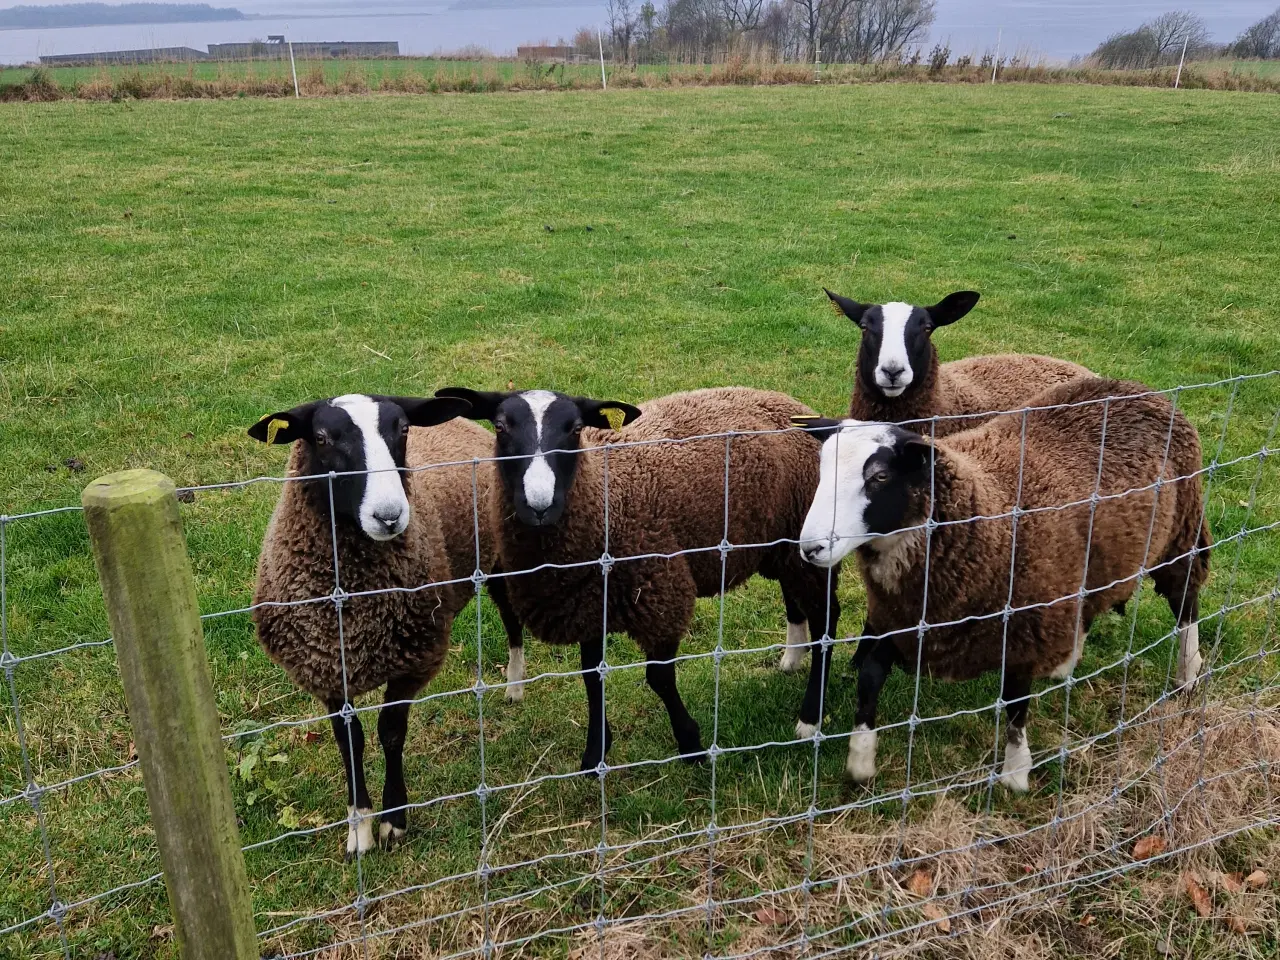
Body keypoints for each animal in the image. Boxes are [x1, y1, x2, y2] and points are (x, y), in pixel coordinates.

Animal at [798, 378, 1208, 793]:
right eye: (821, 471)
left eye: (880, 477)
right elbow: (869, 678)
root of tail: (1138, 389)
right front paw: (860, 758)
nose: (810, 548)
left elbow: (1014, 702)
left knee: (1186, 601)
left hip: (1180, 534)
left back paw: (1188, 673)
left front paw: (1015, 772)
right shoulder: (900, 619)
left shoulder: (1023, 626)